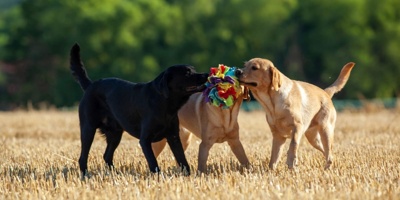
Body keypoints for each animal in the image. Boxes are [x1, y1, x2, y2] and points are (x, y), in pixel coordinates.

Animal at [70, 43, 208, 175]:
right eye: (187, 73)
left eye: (194, 70)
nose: (206, 74)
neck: (164, 103)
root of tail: (91, 85)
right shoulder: (145, 140)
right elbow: (153, 163)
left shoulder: (173, 136)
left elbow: (183, 160)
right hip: (88, 128)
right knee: (83, 157)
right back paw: (85, 176)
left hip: (115, 134)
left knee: (107, 156)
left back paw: (115, 173)